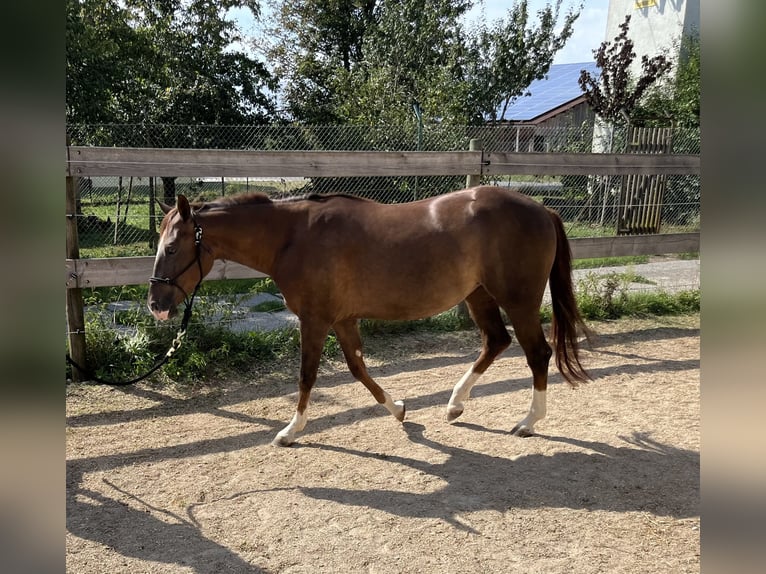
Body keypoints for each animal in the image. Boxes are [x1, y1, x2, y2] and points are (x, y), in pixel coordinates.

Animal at [152, 187, 592, 448]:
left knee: (537, 353)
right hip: (478, 296)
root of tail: (542, 209)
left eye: (171, 247)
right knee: (496, 341)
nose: (157, 304)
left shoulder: (315, 319)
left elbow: (307, 375)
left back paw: (528, 422)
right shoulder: (343, 320)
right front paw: (399, 410)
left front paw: (290, 431)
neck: (293, 236)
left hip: (518, 301)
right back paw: (454, 405)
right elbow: (358, 369)